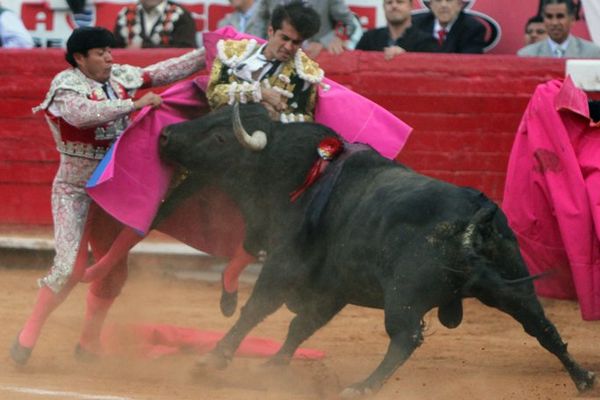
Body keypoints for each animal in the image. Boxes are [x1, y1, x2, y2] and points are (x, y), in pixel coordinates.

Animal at [157, 103, 592, 396]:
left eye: (219, 137)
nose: (166, 136)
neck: (295, 177)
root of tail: (476, 212)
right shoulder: (333, 288)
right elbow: (302, 326)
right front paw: (273, 365)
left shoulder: (284, 264)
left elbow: (255, 309)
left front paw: (213, 359)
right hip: (512, 285)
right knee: (542, 327)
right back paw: (583, 377)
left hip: (403, 294)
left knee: (406, 337)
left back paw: (363, 386)